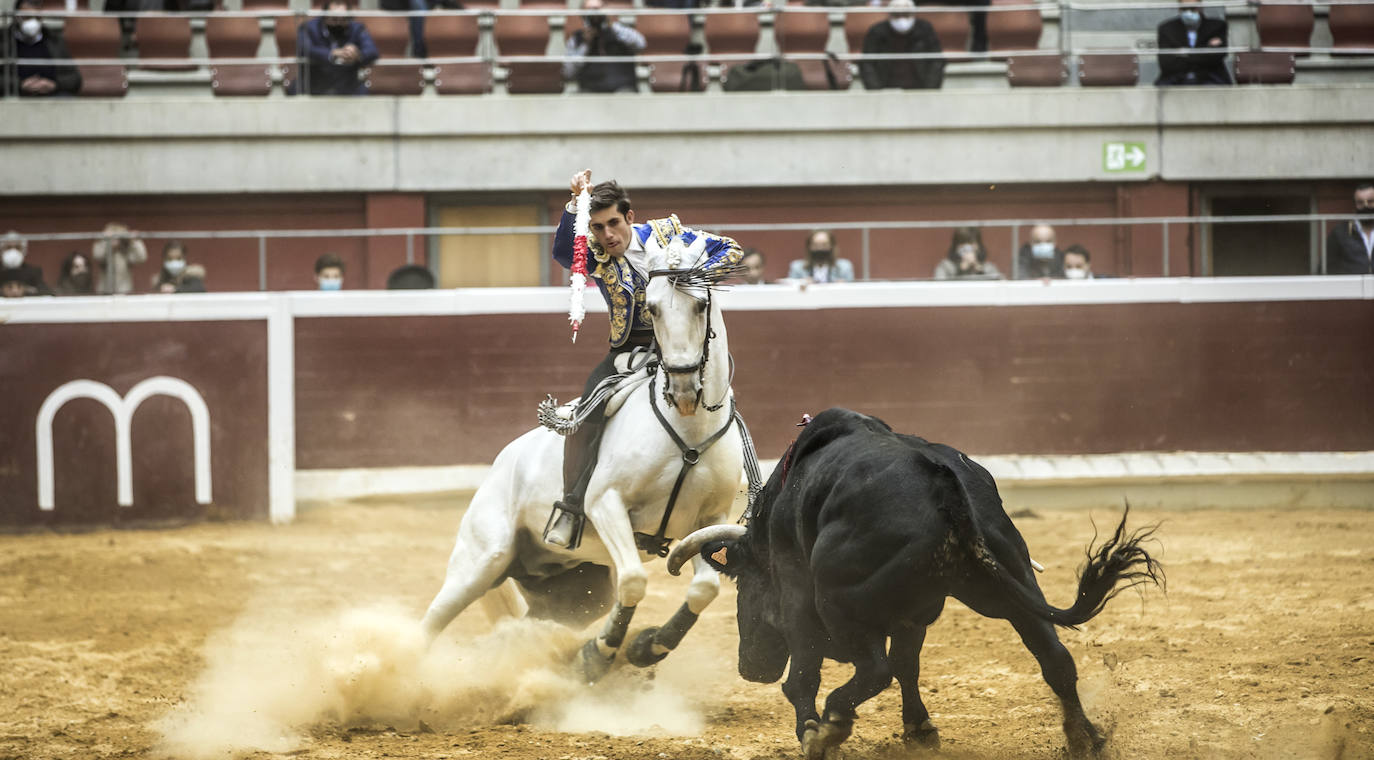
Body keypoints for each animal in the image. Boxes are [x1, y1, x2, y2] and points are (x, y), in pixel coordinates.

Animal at [423, 239, 747, 681]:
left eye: (700, 306)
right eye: (654, 308)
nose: (682, 388)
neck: (690, 430)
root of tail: (501, 463)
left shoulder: (709, 519)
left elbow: (704, 588)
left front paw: (646, 647)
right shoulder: (604, 502)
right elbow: (634, 579)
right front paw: (600, 653)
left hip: (573, 591)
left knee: (528, 630)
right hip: (480, 560)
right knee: (431, 622)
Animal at [665, 409, 1159, 758]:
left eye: (743, 589)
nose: (751, 667)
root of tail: (943, 485)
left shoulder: (799, 597)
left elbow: (806, 675)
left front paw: (810, 733)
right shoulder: (914, 611)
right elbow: (908, 665)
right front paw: (919, 729)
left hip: (836, 601)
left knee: (872, 670)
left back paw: (831, 725)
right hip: (1008, 581)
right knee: (1055, 657)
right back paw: (1086, 740)